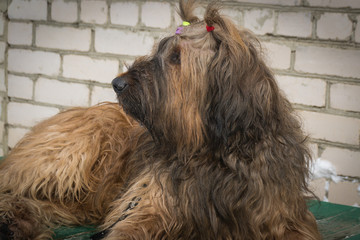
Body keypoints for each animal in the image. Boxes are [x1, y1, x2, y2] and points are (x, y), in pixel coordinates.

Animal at [0, 0, 320, 239]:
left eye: (176, 57)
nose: (117, 83)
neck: (212, 153)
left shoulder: (280, 215)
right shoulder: (150, 204)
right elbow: (130, 227)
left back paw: (18, 222)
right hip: (75, 147)